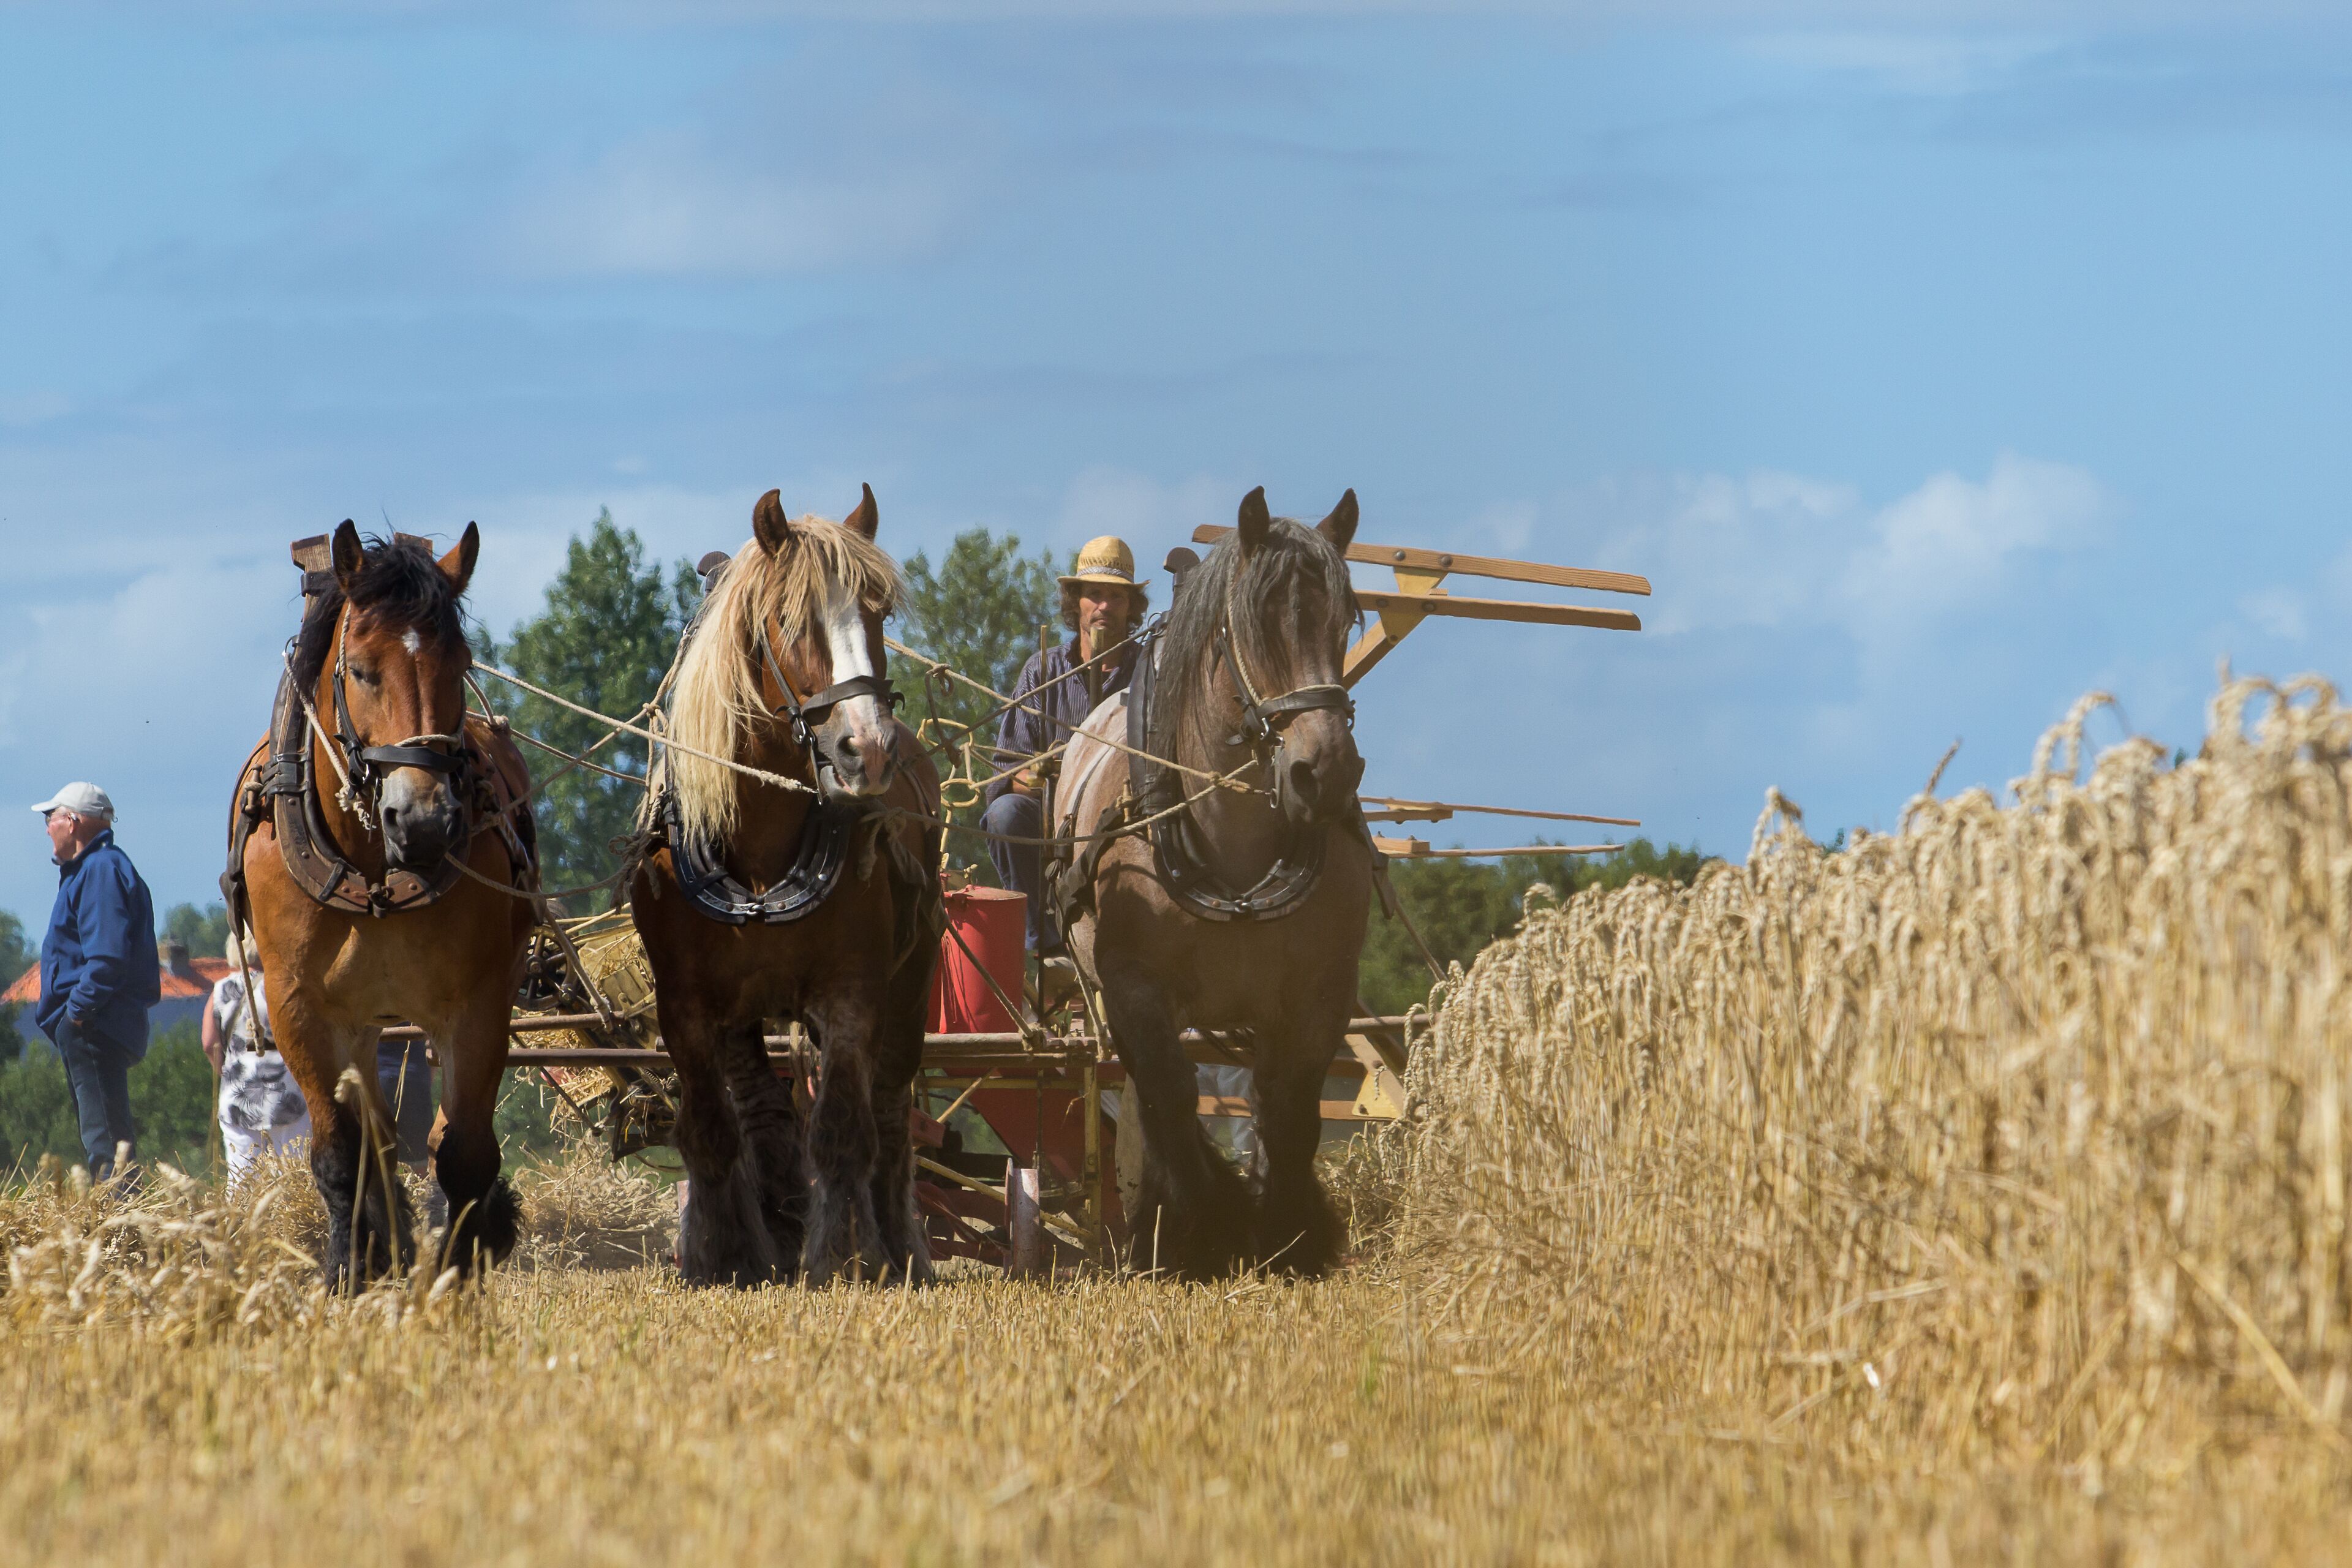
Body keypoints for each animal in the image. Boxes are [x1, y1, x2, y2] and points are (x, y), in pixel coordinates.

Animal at [224, 522, 539, 1287]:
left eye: (459, 665)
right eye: (363, 670)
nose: (423, 821)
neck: (373, 877)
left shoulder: (478, 1003)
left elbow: (464, 1148)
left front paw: (461, 1262)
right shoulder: (301, 1007)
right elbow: (343, 1150)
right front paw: (348, 1266)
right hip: (363, 1025)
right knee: (377, 1135)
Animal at [627, 486, 943, 1288]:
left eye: (878, 613)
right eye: (794, 620)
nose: (868, 749)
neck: (763, 853)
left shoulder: (853, 991)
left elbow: (840, 1129)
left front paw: (842, 1255)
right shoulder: (685, 1004)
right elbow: (710, 1128)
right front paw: (721, 1256)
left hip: (909, 985)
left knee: (888, 1109)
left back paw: (900, 1242)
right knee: (763, 1112)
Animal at [1058, 487, 1372, 1279]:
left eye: (1345, 619)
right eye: (1255, 625)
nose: (1325, 773)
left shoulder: (1318, 994)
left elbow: (1288, 1110)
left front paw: (1288, 1234)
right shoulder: (1134, 985)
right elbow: (1168, 1095)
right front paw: (1199, 1229)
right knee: (1146, 1091)